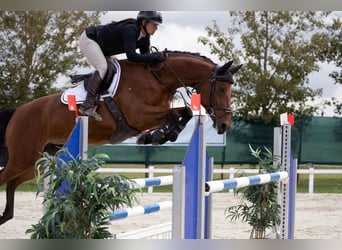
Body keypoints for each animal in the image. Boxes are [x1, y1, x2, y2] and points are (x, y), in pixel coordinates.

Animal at [0, 50, 240, 225]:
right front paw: (159, 136)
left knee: (11, 182)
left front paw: (158, 136)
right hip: (23, 158)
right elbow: (177, 113)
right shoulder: (139, 116)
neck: (158, 78)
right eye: (221, 89)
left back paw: (5, 216)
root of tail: (18, 111)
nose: (224, 125)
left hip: (38, 161)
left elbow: (185, 112)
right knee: (4, 177)